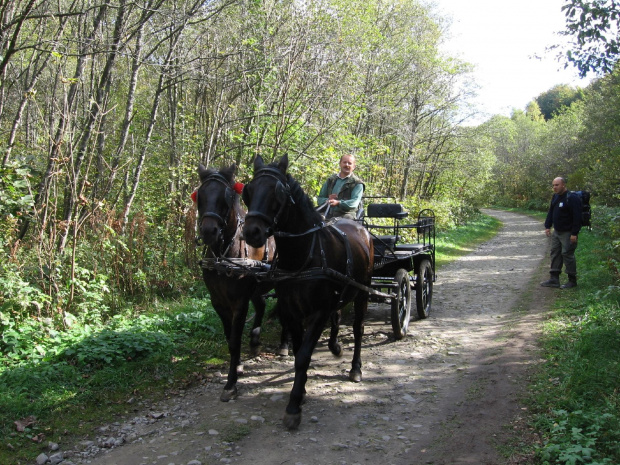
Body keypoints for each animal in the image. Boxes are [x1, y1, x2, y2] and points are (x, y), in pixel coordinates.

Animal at [195, 164, 282, 402]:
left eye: (225, 198)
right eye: (200, 196)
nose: (209, 231)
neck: (223, 256)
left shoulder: (239, 302)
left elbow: (234, 340)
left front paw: (231, 383)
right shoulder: (218, 301)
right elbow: (229, 337)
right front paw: (239, 365)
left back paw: (284, 345)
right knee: (262, 306)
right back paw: (255, 341)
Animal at [241, 153, 372, 428]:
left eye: (277, 192)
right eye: (249, 190)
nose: (251, 232)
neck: (303, 254)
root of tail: (362, 229)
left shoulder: (318, 312)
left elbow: (303, 356)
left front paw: (293, 406)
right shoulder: (291, 311)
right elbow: (299, 351)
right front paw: (299, 394)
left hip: (362, 292)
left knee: (358, 329)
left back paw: (355, 368)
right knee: (338, 316)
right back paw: (335, 346)